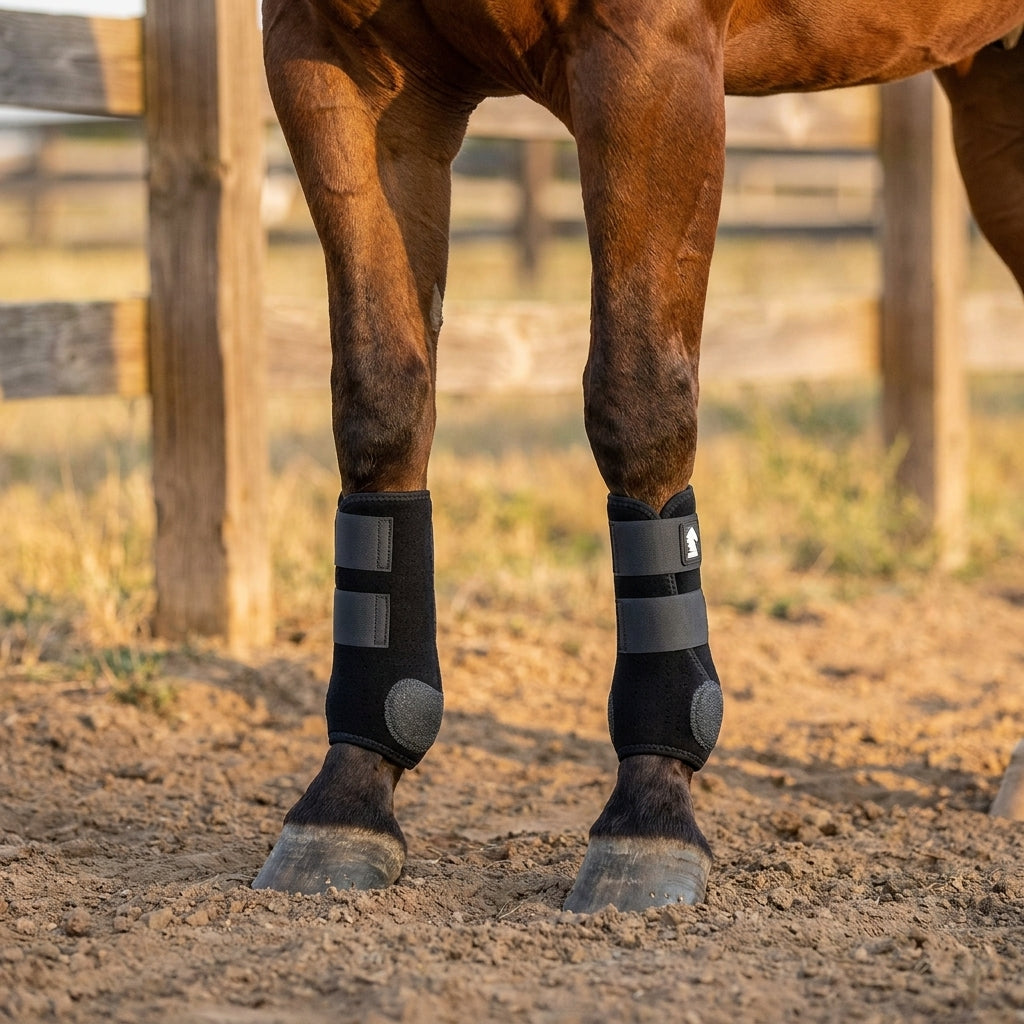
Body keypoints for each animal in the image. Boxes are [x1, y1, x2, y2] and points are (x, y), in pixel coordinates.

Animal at [252, 0, 1024, 912]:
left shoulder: (650, 64)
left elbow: (638, 399)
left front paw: (649, 815)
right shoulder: (335, 62)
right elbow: (381, 399)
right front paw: (346, 799)